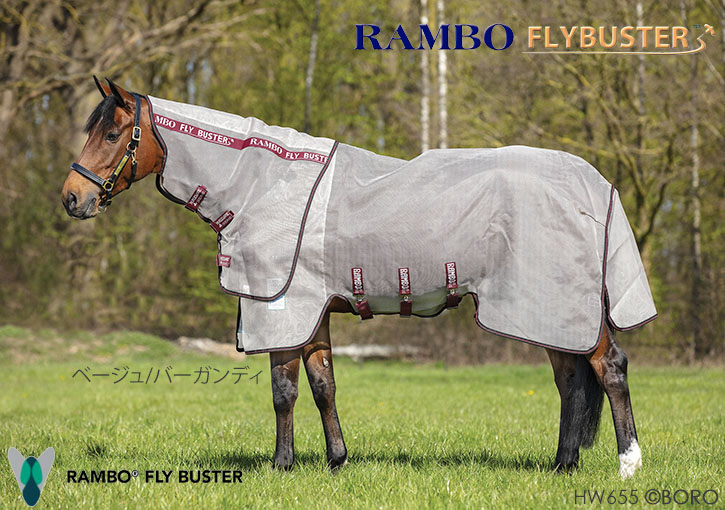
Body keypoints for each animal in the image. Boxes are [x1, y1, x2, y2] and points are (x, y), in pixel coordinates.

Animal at [61, 78, 647, 478]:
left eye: (111, 133)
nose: (72, 198)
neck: (262, 184)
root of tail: (596, 184)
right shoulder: (312, 312)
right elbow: (323, 385)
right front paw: (336, 460)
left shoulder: (279, 305)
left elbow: (283, 390)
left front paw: (281, 465)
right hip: (547, 311)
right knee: (570, 380)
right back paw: (563, 464)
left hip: (556, 305)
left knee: (609, 368)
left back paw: (628, 463)